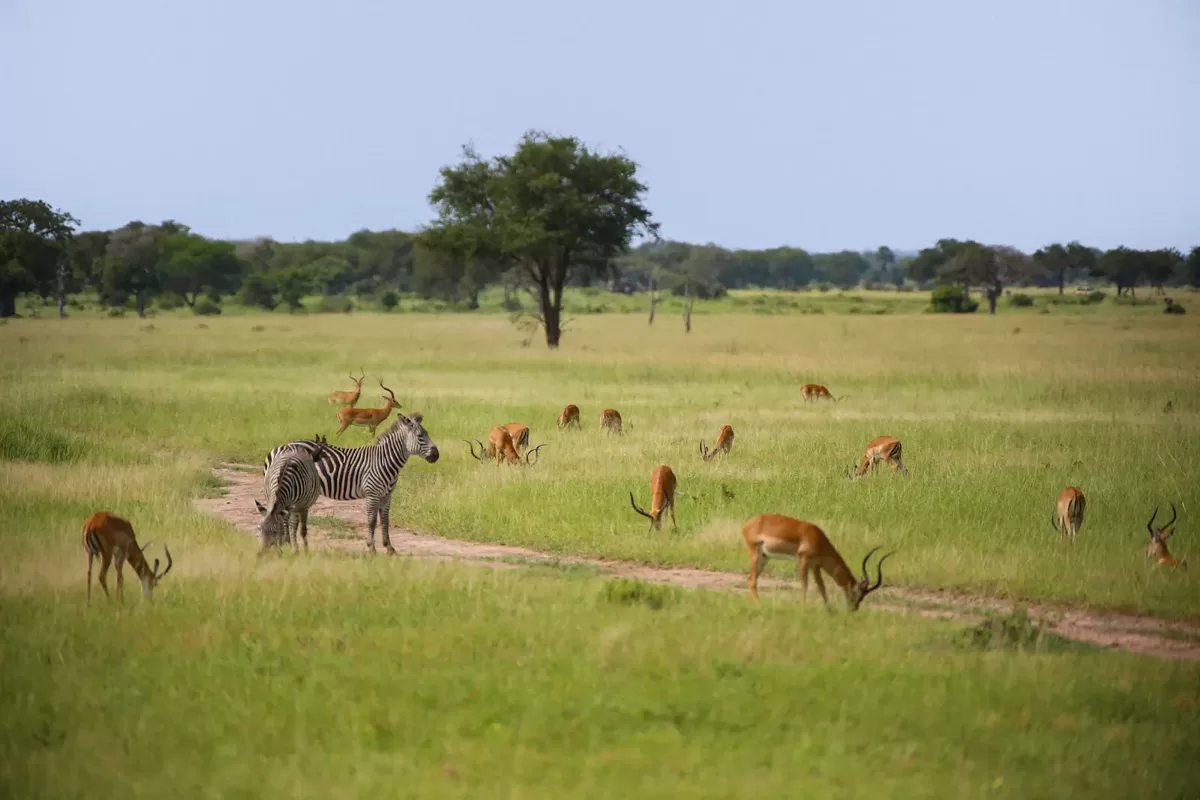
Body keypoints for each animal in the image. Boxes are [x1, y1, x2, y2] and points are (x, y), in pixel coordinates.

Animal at [262, 413, 440, 554]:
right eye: (420, 436)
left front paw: (389, 548)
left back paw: (286, 544)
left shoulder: (386, 496)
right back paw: (286, 544)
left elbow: (385, 521)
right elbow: (372, 521)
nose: (436, 456)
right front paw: (372, 548)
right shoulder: (372, 494)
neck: (385, 461)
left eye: (427, 434)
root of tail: (282, 446)